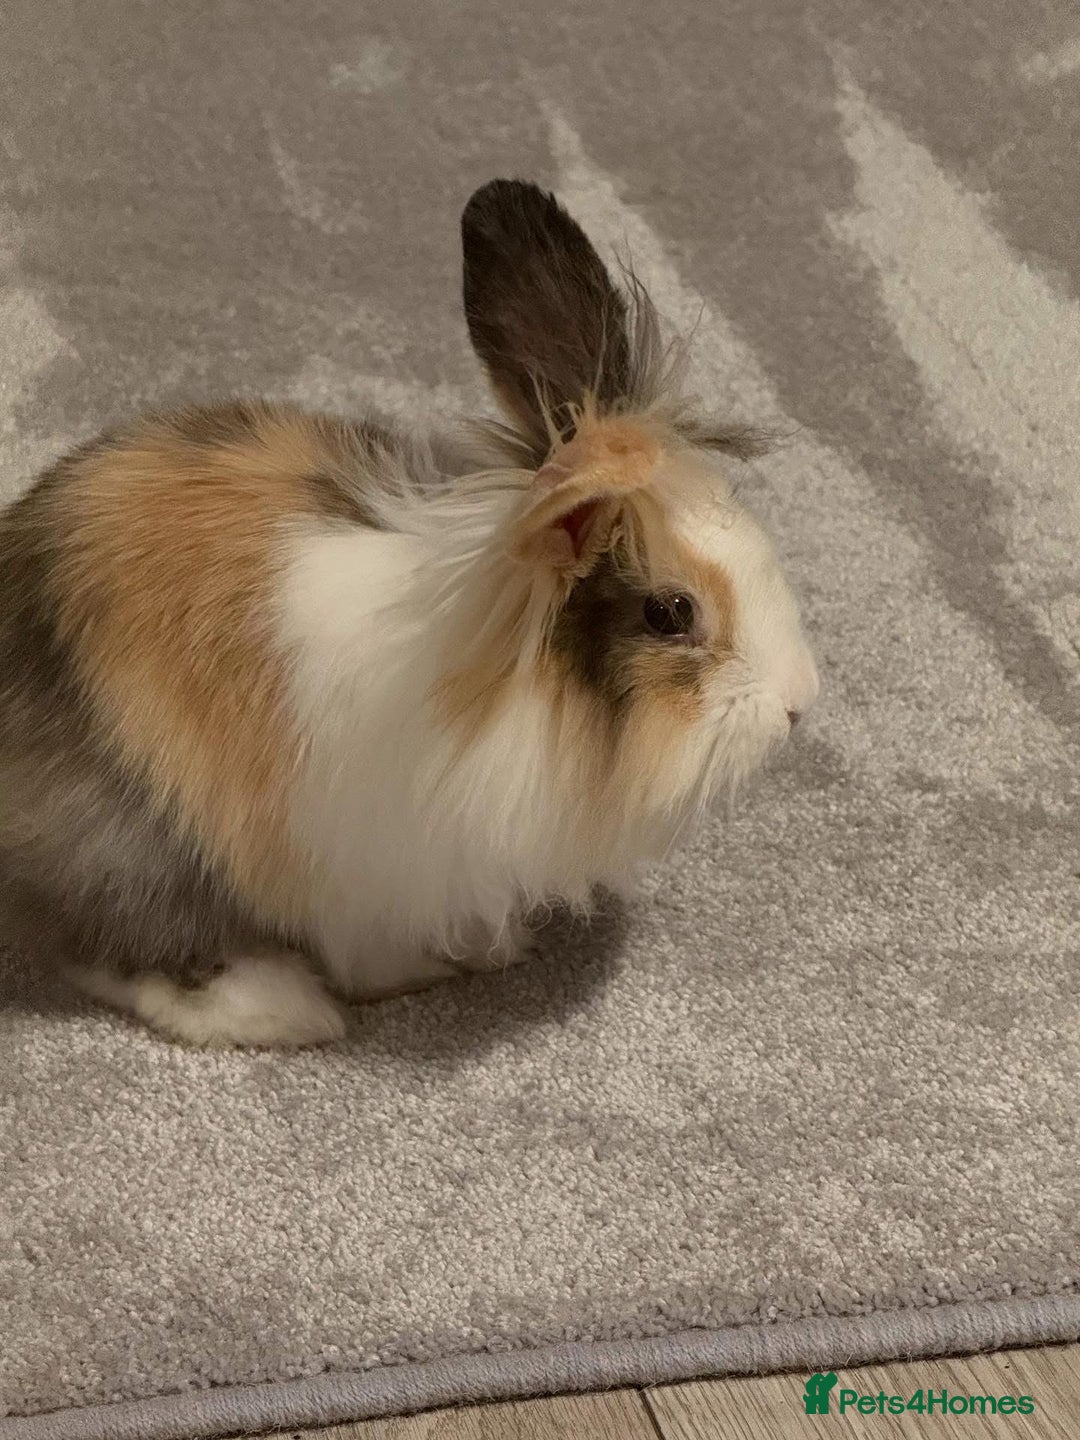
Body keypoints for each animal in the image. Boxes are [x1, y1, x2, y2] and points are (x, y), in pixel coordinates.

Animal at [0, 179, 819, 1047]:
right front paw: (423, 969)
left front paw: (494, 944)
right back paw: (279, 1009)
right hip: (135, 833)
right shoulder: (364, 869)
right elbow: (371, 949)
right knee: (119, 944)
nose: (798, 704)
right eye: (669, 613)